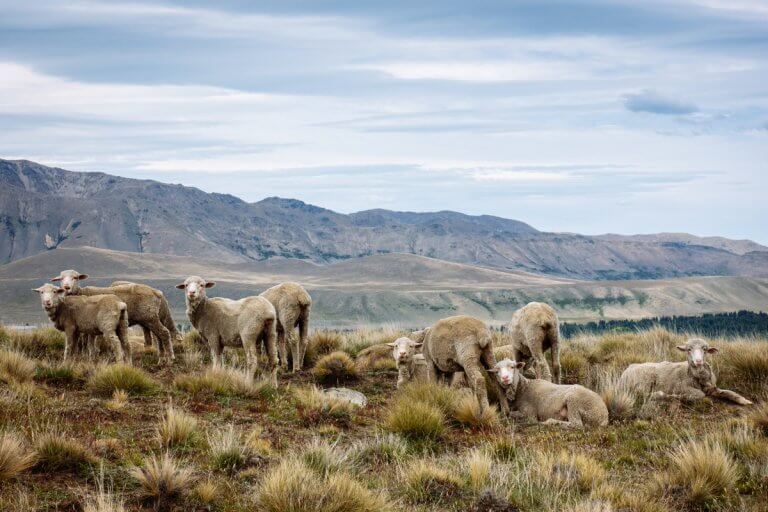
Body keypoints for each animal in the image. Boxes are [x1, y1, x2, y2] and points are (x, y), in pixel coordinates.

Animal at [616, 338, 752, 406]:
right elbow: (700, 395)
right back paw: (661, 395)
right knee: (643, 395)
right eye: (688, 349)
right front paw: (680, 397)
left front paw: (745, 401)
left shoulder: (713, 388)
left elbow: (729, 392)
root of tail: (627, 369)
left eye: (705, 349)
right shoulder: (682, 387)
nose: (698, 361)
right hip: (643, 384)